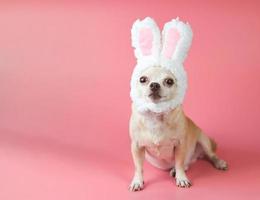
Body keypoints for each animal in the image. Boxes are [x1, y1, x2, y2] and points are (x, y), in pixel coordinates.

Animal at [129, 17, 226, 191]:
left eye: (169, 81)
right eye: (142, 79)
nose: (154, 85)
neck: (157, 116)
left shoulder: (180, 146)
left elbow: (179, 162)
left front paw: (181, 178)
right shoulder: (137, 147)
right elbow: (138, 167)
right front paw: (137, 181)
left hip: (203, 140)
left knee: (209, 155)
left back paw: (218, 163)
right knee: (188, 163)